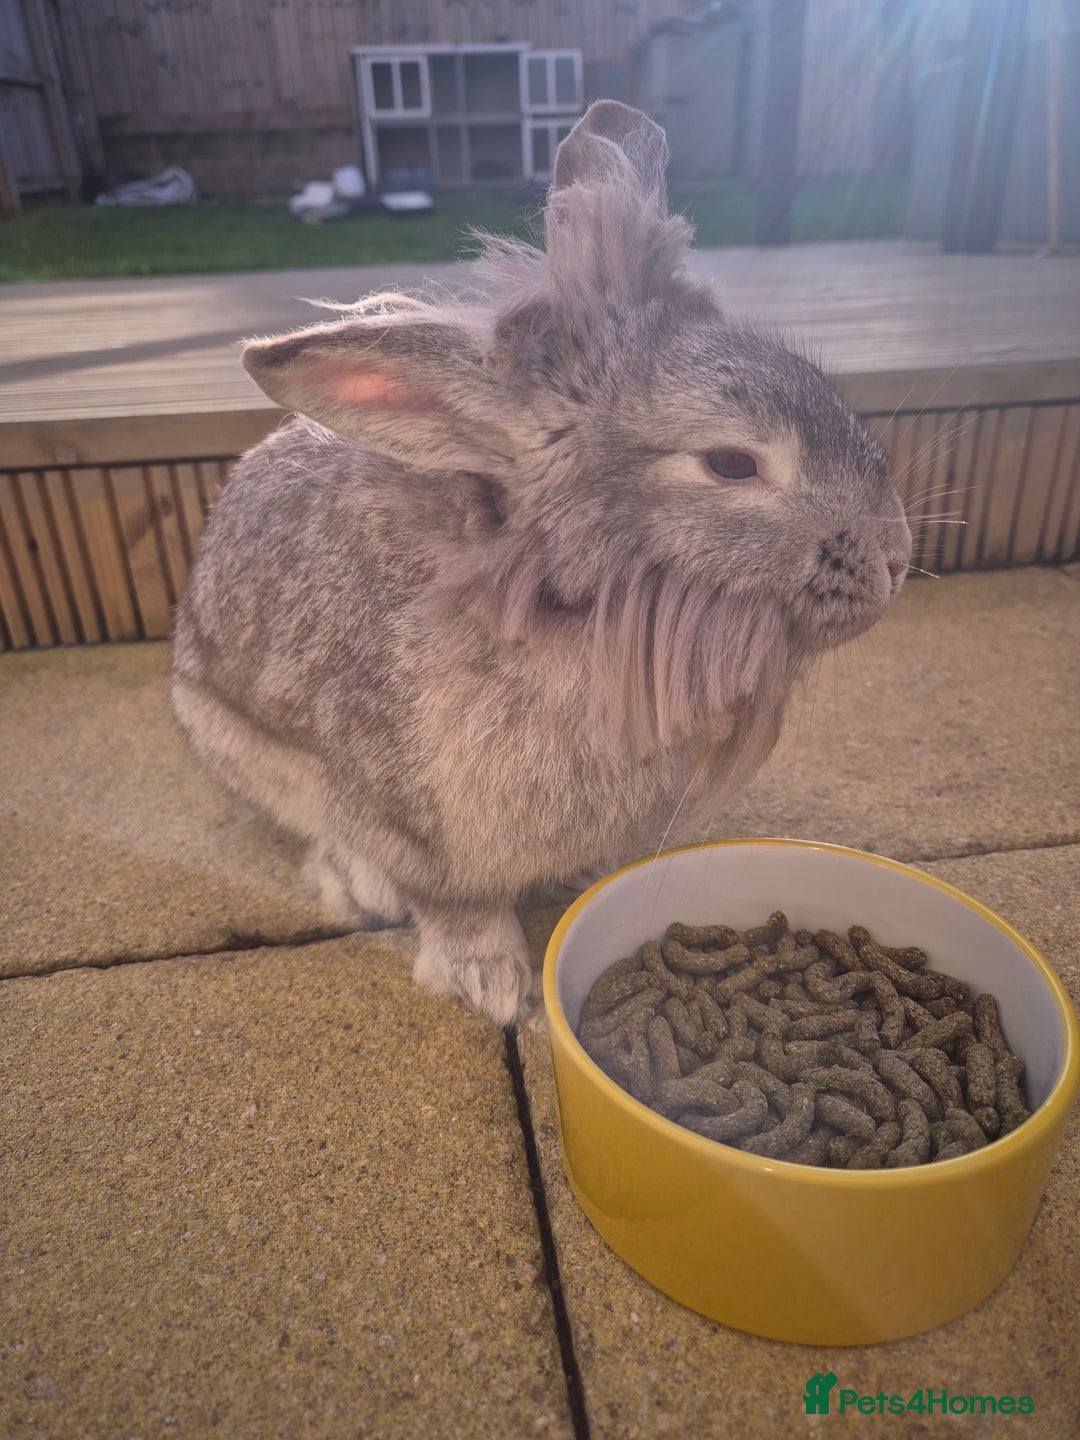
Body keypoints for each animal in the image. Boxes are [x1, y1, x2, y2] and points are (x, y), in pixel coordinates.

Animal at [170, 100, 911, 1027]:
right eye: (732, 464)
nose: (897, 557)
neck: (562, 605)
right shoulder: (416, 824)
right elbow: (453, 903)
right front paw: (494, 988)